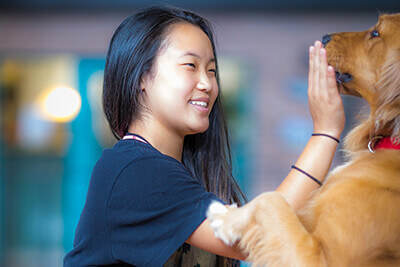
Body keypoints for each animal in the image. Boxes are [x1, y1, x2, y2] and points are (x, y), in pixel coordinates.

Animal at [208, 13, 398, 267]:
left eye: (376, 33)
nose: (325, 37)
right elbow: (276, 201)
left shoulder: (320, 258)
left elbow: (271, 198)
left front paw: (225, 218)